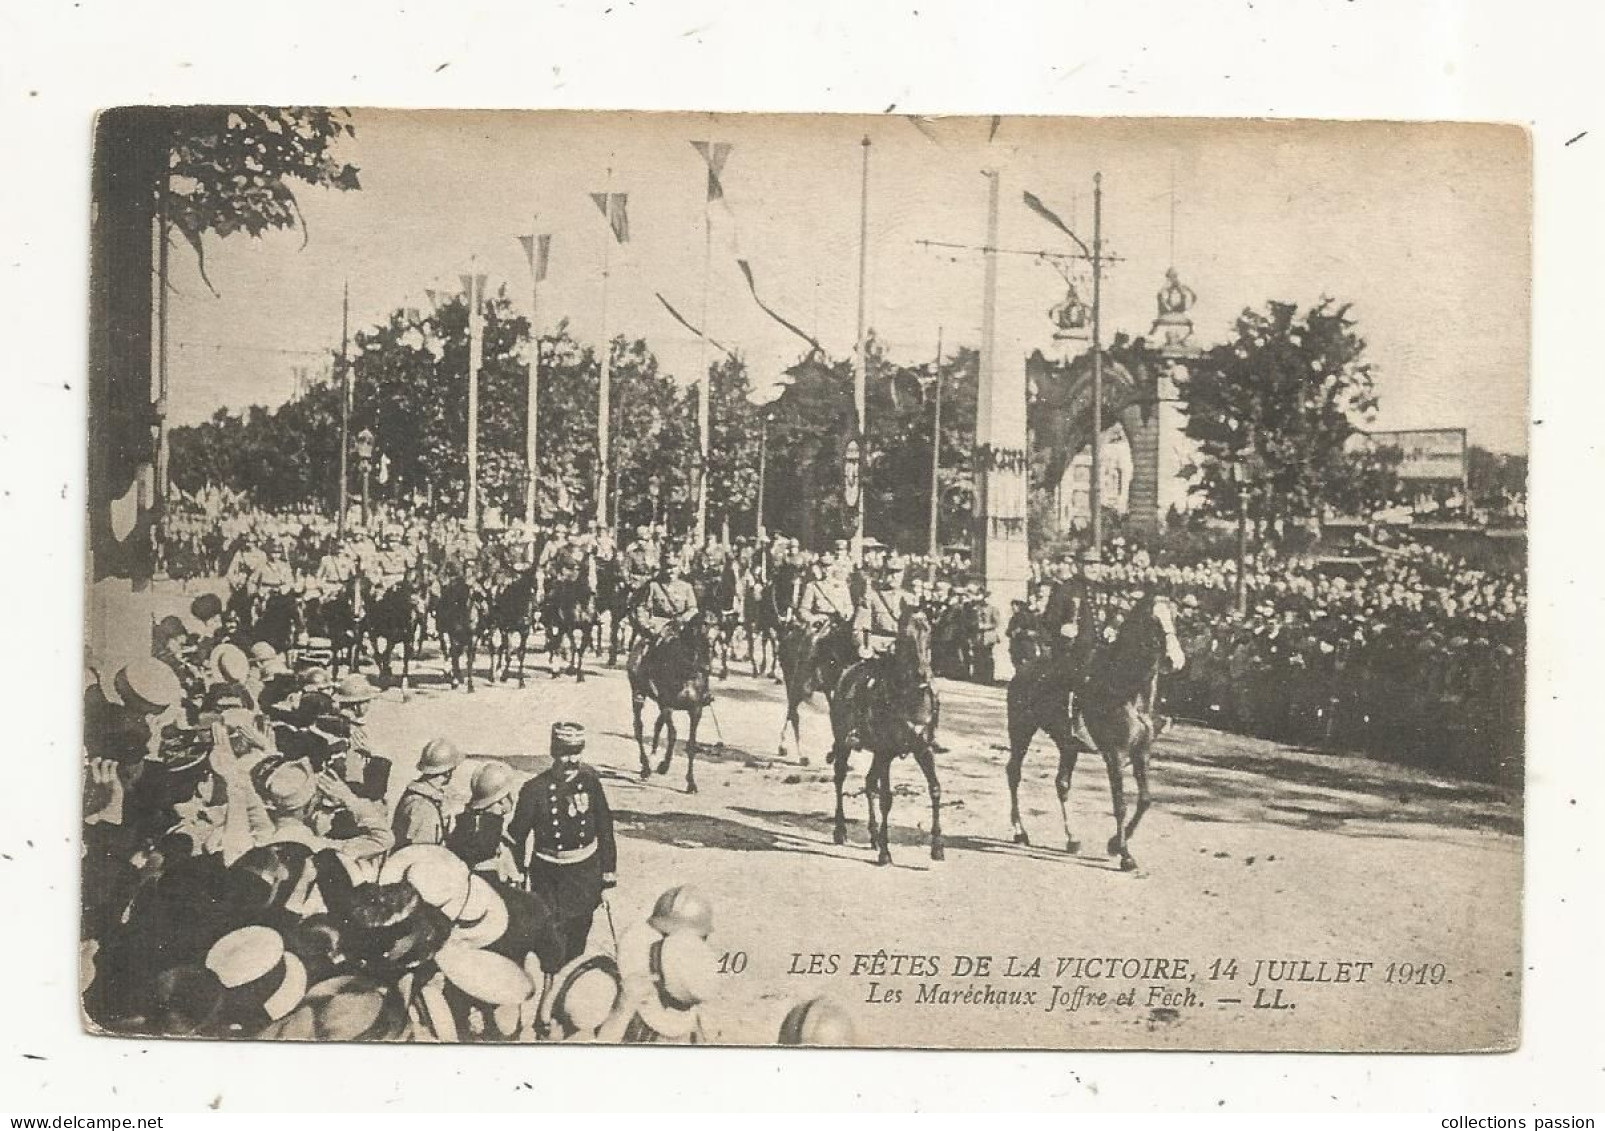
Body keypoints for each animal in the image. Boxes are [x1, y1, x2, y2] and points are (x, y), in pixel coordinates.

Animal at [625, 612, 715, 789]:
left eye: (714, 639)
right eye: (700, 632)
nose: (706, 668)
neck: (686, 672)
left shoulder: (696, 710)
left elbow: (691, 744)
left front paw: (691, 783)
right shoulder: (666, 705)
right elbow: (673, 734)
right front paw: (664, 766)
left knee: (658, 726)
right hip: (638, 694)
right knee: (639, 728)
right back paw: (646, 768)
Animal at [828, 609, 937, 866]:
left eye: (929, 634)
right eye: (905, 638)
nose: (923, 674)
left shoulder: (923, 750)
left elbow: (935, 790)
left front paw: (937, 848)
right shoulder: (887, 752)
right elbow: (886, 798)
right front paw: (886, 853)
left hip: (876, 752)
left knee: (869, 783)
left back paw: (873, 835)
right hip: (844, 742)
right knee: (840, 778)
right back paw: (841, 830)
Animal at [1007, 590, 1187, 872]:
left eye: (1176, 617)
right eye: (1153, 619)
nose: (1175, 660)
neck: (1125, 688)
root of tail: (1024, 669)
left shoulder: (1142, 753)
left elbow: (1145, 800)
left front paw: (1114, 843)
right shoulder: (1115, 755)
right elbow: (1120, 804)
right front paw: (1125, 854)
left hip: (1067, 745)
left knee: (1062, 784)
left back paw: (1072, 839)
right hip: (1021, 731)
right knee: (1014, 772)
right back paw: (1020, 831)